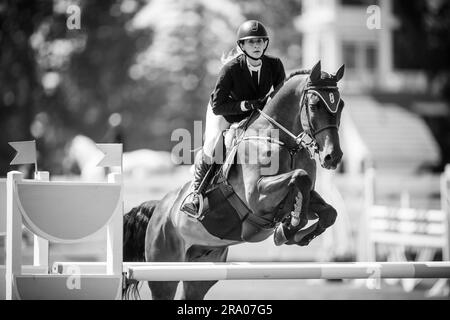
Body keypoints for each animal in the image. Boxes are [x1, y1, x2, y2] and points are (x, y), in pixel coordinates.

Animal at [122, 60, 344, 300]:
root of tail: (158, 209)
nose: (333, 157)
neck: (282, 141)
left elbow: (328, 212)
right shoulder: (257, 197)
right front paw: (287, 229)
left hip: (201, 270)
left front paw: (293, 233)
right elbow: (299, 178)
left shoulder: (304, 195)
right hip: (164, 273)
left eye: (340, 105)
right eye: (314, 105)